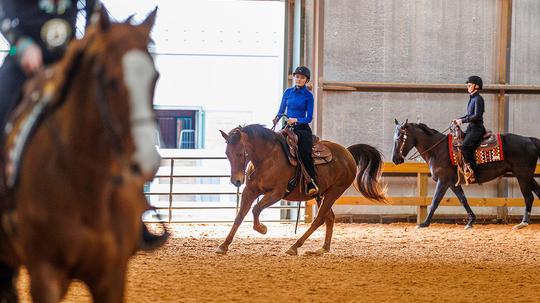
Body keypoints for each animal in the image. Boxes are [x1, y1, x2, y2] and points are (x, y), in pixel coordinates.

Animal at [215, 124, 384, 255]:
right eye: (227, 153)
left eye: (241, 153)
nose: (236, 181)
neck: (267, 158)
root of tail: (347, 153)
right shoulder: (250, 191)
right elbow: (240, 216)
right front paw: (224, 245)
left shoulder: (276, 194)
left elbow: (256, 209)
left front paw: (261, 228)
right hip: (321, 195)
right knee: (329, 218)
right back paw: (323, 248)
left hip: (334, 192)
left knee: (319, 219)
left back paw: (294, 247)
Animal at [392, 120, 540, 229]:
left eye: (399, 138)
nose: (395, 159)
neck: (438, 150)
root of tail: (530, 140)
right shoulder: (453, 183)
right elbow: (463, 199)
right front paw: (470, 221)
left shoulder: (443, 181)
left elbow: (435, 201)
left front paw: (424, 223)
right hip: (526, 176)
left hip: (523, 175)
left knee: (529, 197)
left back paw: (523, 222)